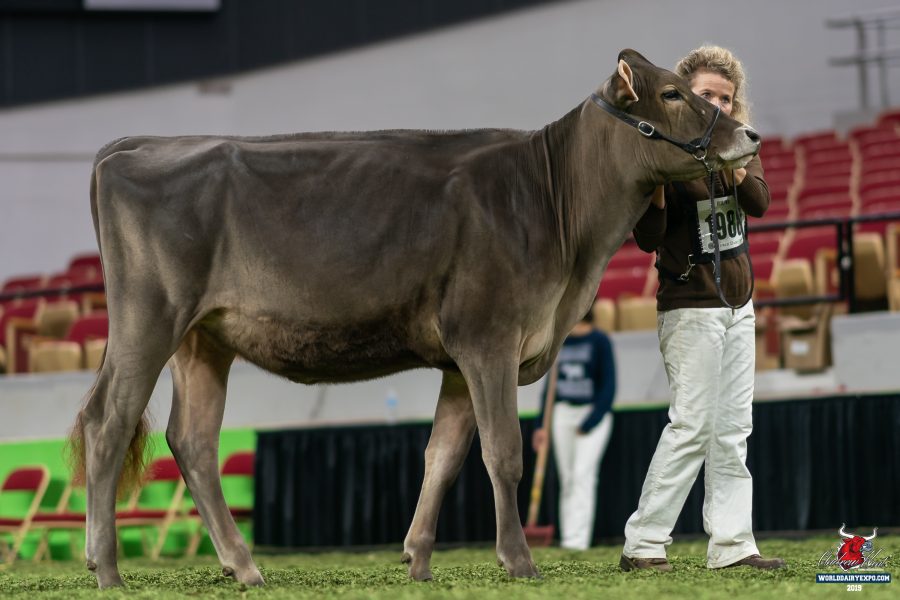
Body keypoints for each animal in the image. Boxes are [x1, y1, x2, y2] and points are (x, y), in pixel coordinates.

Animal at [69, 48, 760, 588]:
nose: (749, 138)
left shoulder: (460, 358)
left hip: (202, 337)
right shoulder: (488, 338)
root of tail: (135, 145)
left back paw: (244, 567)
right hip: (149, 317)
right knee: (108, 423)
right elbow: (504, 453)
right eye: (671, 94)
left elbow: (443, 457)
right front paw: (518, 561)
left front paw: (418, 561)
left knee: (192, 440)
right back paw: (108, 569)